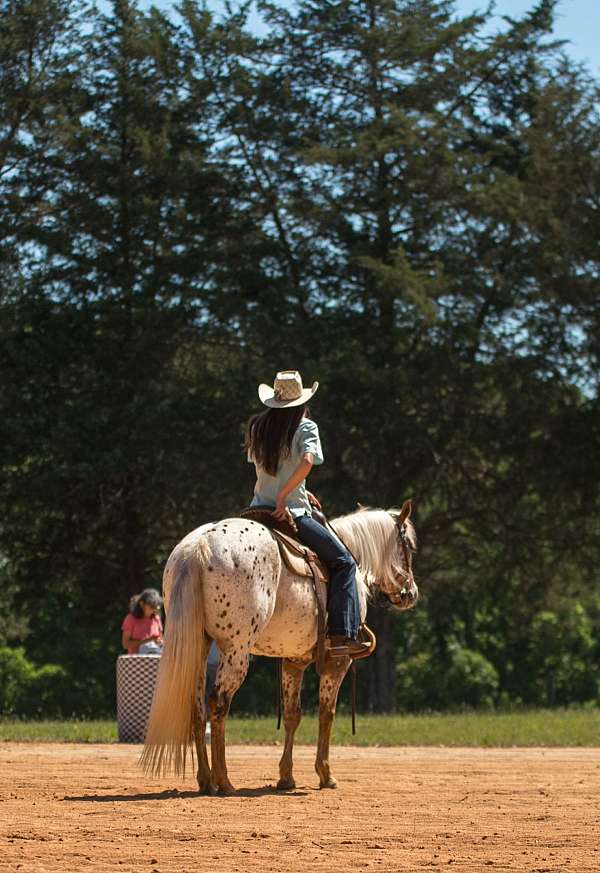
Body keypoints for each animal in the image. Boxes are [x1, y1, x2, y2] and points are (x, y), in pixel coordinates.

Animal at [140, 499, 418, 794]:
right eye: (409, 546)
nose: (411, 594)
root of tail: (198, 547)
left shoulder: (294, 659)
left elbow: (292, 715)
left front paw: (286, 777)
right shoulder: (338, 661)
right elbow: (326, 713)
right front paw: (325, 774)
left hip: (199, 648)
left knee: (197, 708)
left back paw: (206, 780)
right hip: (236, 652)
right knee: (218, 704)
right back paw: (224, 780)